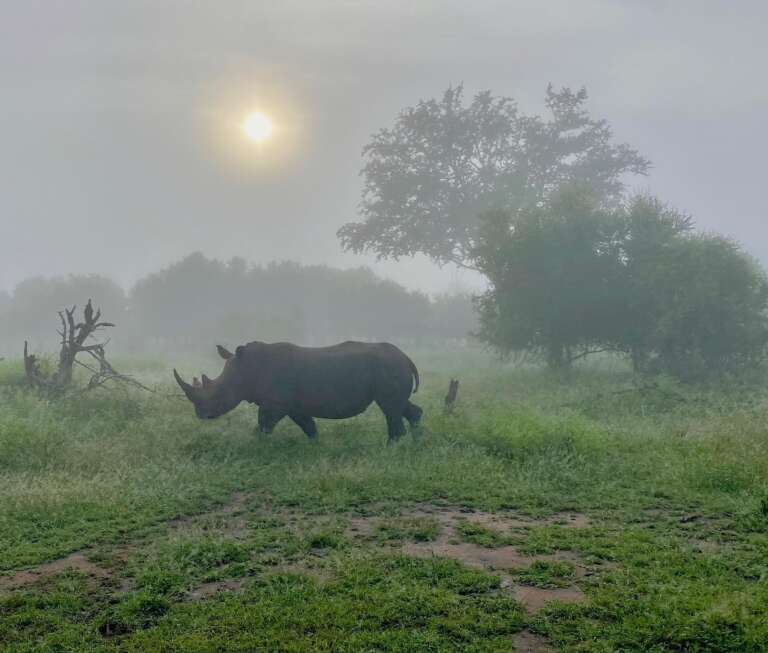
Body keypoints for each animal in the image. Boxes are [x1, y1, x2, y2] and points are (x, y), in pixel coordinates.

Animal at [174, 340, 423, 443]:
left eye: (218, 395)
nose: (201, 415)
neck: (244, 371)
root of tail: (406, 357)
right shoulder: (292, 405)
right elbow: (308, 425)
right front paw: (315, 444)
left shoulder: (276, 403)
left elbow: (263, 424)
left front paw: (256, 444)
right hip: (392, 366)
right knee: (400, 406)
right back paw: (417, 441)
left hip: (389, 367)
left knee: (390, 408)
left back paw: (392, 446)